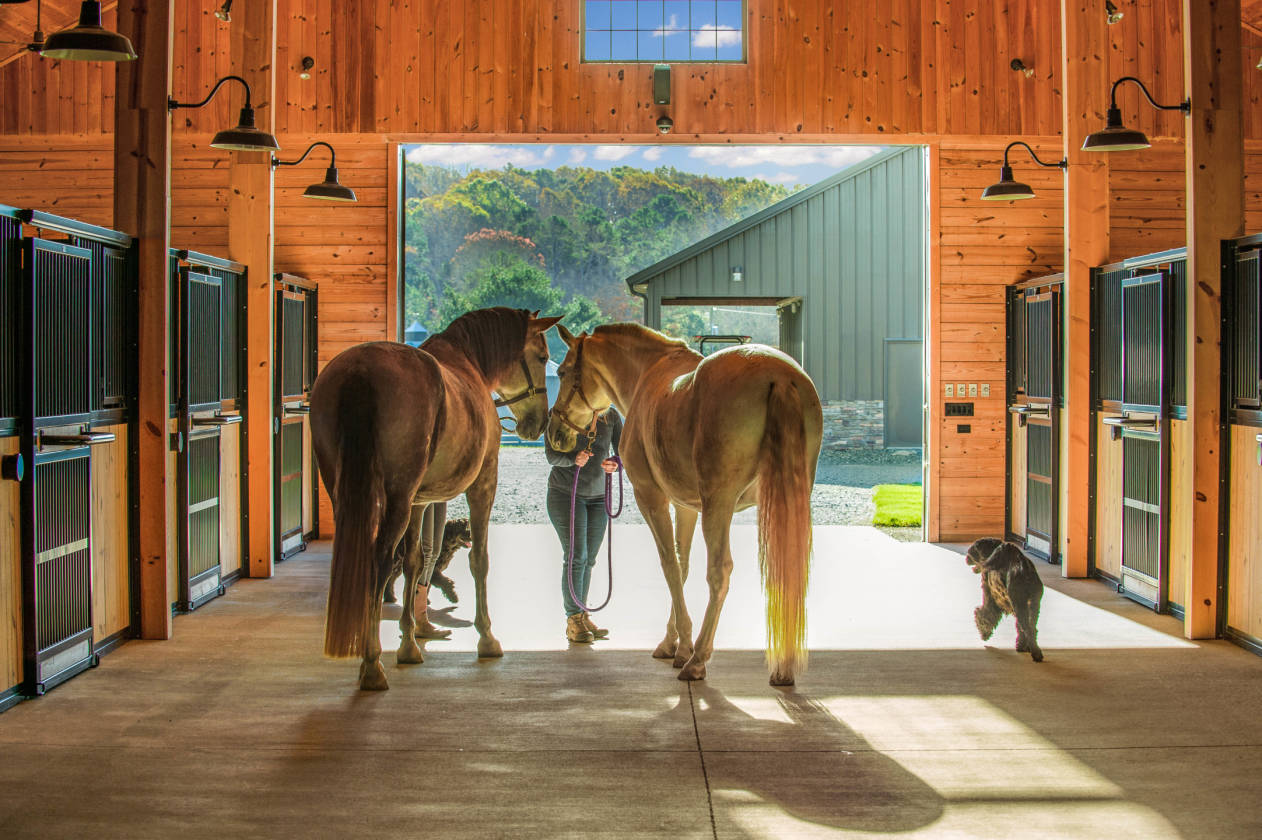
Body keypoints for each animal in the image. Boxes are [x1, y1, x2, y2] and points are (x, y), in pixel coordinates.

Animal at [310, 307, 561, 690]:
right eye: (543, 357)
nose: (537, 423)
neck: (467, 362)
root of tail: (361, 371)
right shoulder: (483, 484)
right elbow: (479, 560)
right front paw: (487, 638)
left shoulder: (419, 502)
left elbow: (415, 561)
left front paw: (409, 644)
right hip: (396, 499)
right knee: (378, 561)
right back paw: (371, 663)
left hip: (348, 495)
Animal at [546, 323, 823, 686]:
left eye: (563, 372)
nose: (554, 433)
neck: (647, 373)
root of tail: (779, 377)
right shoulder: (687, 507)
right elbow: (683, 564)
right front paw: (673, 642)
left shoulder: (651, 497)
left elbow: (670, 566)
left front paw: (683, 646)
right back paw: (783, 667)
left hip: (719, 505)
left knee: (719, 572)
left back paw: (699, 659)